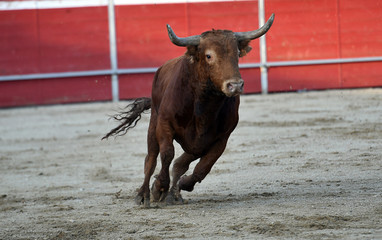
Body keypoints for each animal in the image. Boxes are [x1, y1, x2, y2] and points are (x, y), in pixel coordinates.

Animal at [103, 14, 274, 207]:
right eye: (209, 55)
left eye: (237, 54)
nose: (235, 85)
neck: (204, 105)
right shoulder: (164, 125)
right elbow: (167, 154)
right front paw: (159, 187)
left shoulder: (221, 139)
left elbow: (203, 167)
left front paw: (180, 185)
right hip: (154, 123)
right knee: (151, 159)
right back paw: (144, 194)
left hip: (195, 144)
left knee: (180, 163)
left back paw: (174, 194)